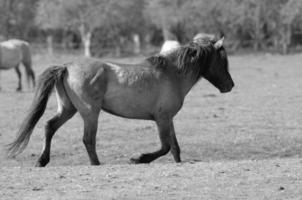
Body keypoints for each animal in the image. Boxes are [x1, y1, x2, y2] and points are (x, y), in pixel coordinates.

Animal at [6, 34, 234, 167]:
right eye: (222, 60)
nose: (230, 85)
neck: (171, 74)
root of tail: (66, 66)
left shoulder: (168, 119)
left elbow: (175, 148)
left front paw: (177, 163)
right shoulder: (162, 119)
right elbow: (165, 146)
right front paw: (139, 158)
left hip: (68, 109)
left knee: (49, 127)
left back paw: (42, 161)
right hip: (90, 113)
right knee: (88, 139)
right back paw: (96, 163)